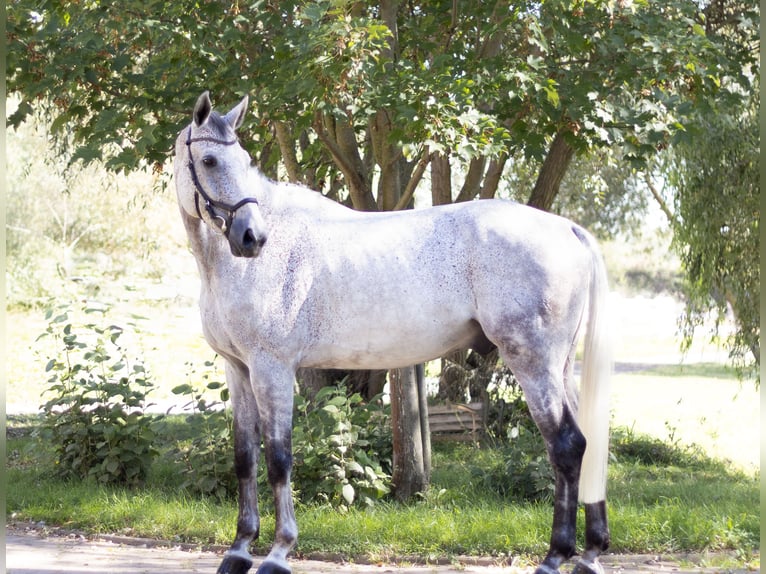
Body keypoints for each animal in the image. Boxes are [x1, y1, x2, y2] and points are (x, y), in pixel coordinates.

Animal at [172, 94, 612, 574]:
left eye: (245, 161)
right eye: (210, 160)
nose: (252, 237)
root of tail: (566, 228)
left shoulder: (272, 369)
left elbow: (278, 458)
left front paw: (278, 552)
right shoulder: (237, 368)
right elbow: (245, 458)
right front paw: (238, 550)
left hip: (532, 362)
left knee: (566, 445)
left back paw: (556, 556)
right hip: (559, 366)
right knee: (586, 443)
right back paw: (591, 553)